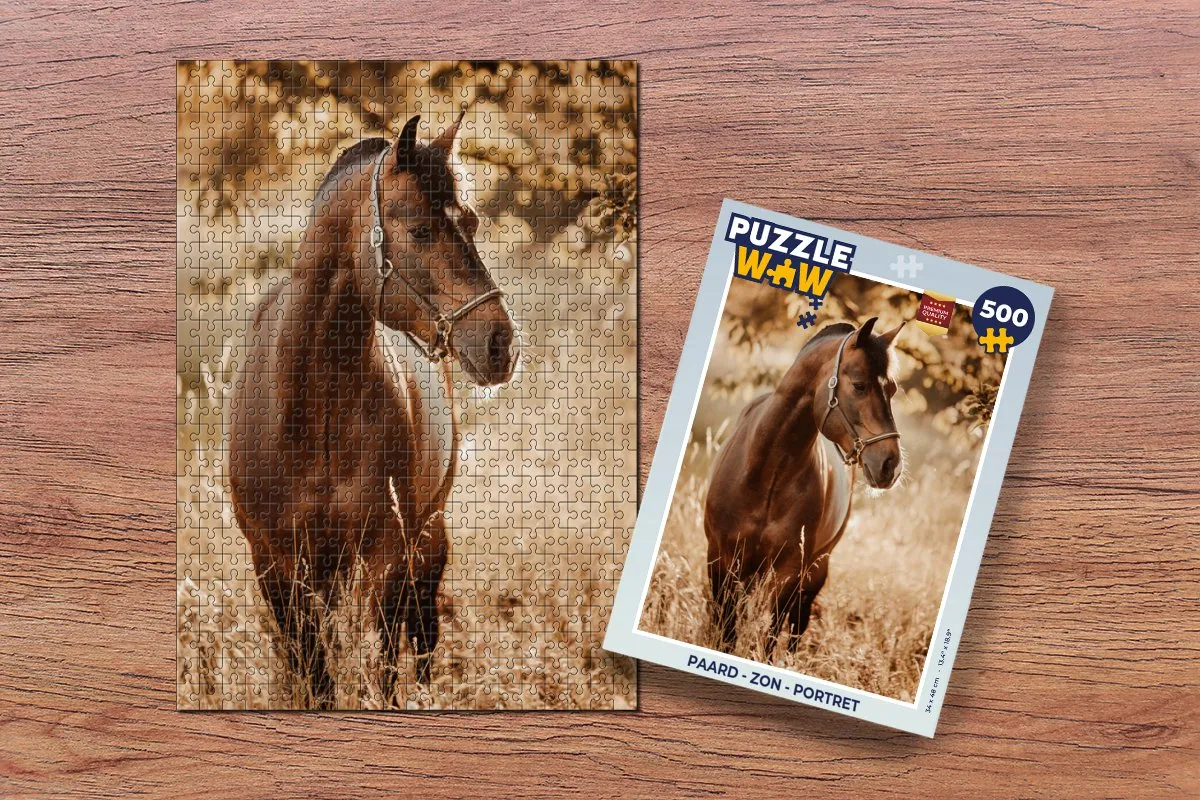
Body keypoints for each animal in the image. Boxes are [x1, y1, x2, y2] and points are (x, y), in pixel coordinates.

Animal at [228, 112, 518, 707]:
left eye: (472, 222)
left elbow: (379, 667)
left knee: (423, 631)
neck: (313, 413)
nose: (501, 343)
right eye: (419, 230)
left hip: (424, 539)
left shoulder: (385, 556)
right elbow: (314, 674)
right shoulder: (275, 565)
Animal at [704, 317, 905, 655]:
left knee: (797, 626)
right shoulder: (721, 560)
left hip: (814, 572)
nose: (891, 464)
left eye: (891, 389)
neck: (765, 474)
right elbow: (726, 632)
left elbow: (770, 639)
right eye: (860, 385)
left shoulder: (789, 573)